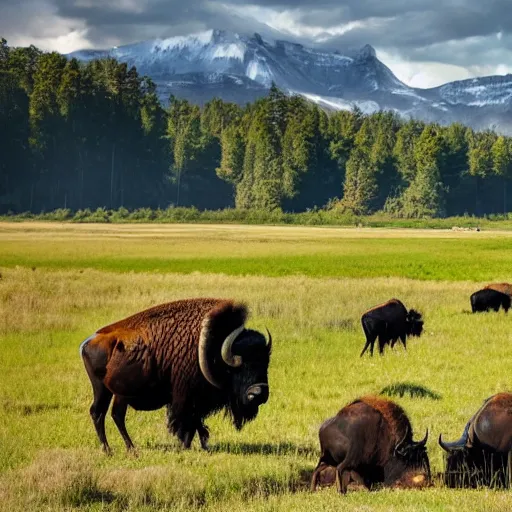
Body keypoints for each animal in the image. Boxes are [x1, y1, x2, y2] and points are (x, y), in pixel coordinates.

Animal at [79, 298, 272, 454]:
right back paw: (122, 449)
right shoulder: (186, 397)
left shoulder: (197, 401)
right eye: (242, 366)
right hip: (111, 392)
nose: (259, 393)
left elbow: (197, 421)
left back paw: (115, 449)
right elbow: (187, 421)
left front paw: (204, 445)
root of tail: (88, 342)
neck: (213, 349)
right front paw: (186, 445)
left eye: (265, 363)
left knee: (104, 413)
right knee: (108, 414)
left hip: (110, 392)